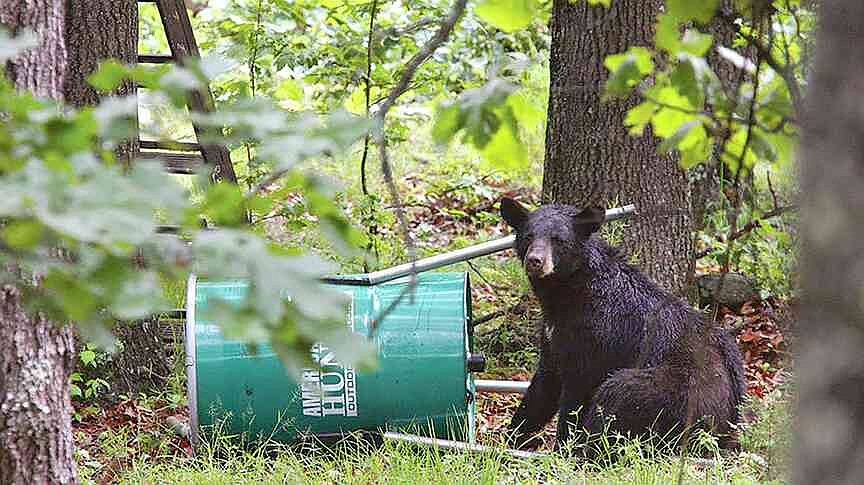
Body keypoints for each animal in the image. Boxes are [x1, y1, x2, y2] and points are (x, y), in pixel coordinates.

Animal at [499, 197, 746, 453]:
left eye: (559, 239)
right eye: (528, 236)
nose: (535, 261)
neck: (567, 294)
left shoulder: (594, 335)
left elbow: (577, 392)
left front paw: (563, 448)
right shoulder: (553, 334)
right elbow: (544, 386)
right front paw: (510, 437)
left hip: (671, 394)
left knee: (615, 396)